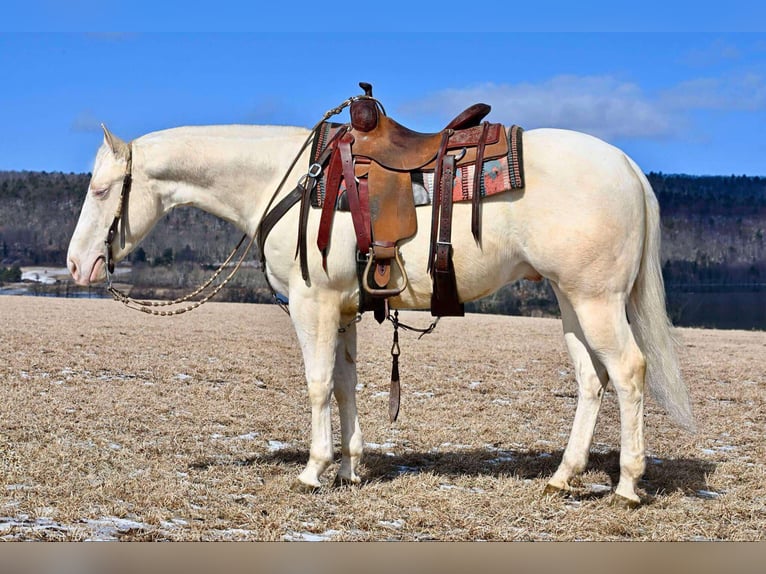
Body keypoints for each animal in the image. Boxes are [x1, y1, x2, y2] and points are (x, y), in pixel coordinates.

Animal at [67, 120, 696, 508]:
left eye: (100, 190)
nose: (77, 265)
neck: (291, 181)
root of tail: (625, 165)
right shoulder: (343, 309)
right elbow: (346, 384)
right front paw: (350, 468)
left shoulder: (313, 305)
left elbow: (318, 384)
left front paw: (314, 470)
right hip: (571, 302)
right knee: (592, 379)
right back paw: (563, 477)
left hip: (596, 300)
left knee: (629, 371)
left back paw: (627, 485)